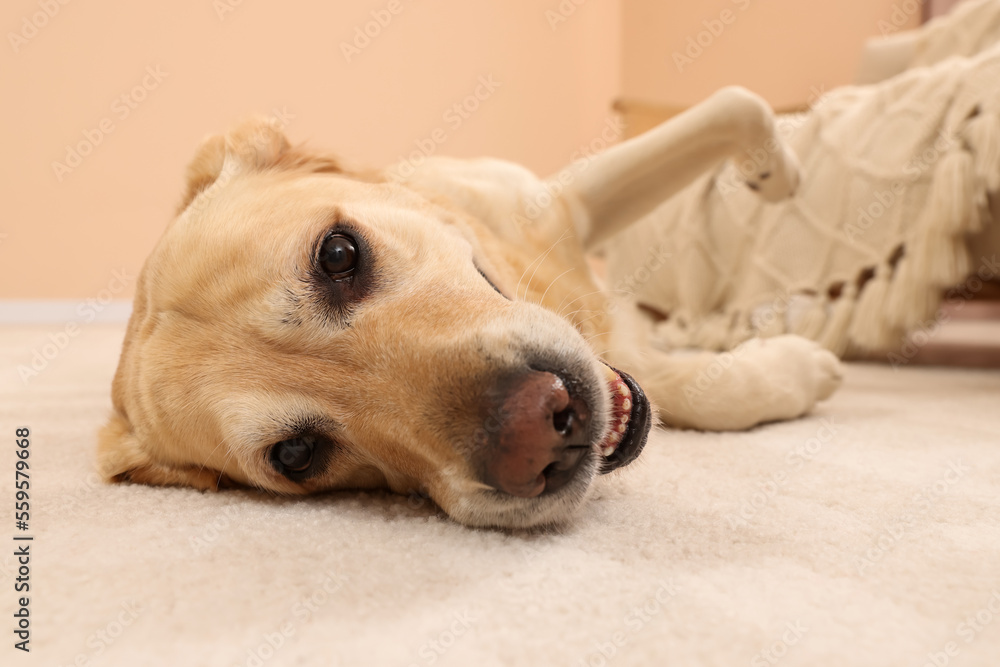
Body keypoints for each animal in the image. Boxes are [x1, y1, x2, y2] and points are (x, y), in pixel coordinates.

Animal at [97, 87, 840, 528]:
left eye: (337, 254)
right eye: (297, 454)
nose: (540, 433)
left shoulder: (569, 202)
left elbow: (737, 104)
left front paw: (778, 175)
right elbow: (700, 388)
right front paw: (796, 370)